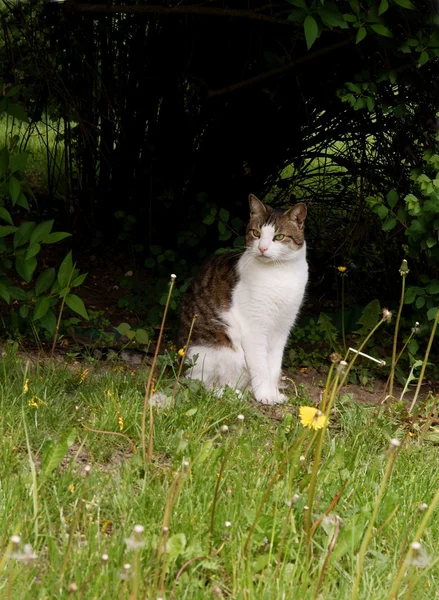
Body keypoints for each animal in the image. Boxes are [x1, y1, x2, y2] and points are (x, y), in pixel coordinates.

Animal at [179, 195, 310, 406]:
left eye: (279, 237)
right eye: (256, 233)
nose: (262, 248)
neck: (280, 273)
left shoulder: (282, 328)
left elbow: (274, 367)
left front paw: (273, 393)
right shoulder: (255, 328)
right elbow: (261, 366)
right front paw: (265, 394)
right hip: (217, 349)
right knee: (200, 385)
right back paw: (233, 395)